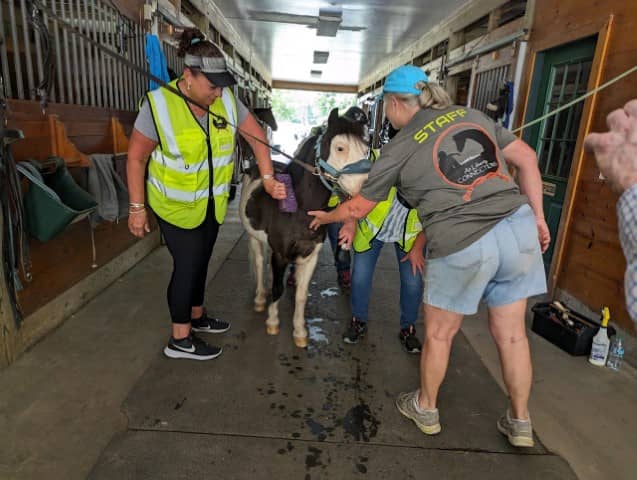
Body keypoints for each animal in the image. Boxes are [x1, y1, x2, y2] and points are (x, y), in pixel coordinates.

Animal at [238, 108, 368, 348]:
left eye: (366, 150)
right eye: (340, 147)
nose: (366, 189)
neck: (299, 208)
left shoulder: (309, 255)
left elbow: (301, 294)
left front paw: (300, 332)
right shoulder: (280, 254)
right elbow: (278, 288)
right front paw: (272, 322)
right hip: (254, 239)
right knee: (260, 264)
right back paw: (260, 299)